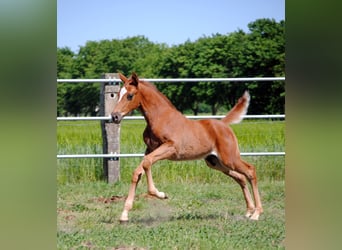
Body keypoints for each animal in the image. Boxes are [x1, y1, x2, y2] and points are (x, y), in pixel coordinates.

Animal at [111, 73, 264, 223]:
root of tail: (223, 124)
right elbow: (137, 172)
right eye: (118, 94)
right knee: (241, 178)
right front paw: (124, 214)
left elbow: (147, 163)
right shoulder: (150, 150)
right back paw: (249, 211)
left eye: (130, 95)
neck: (161, 118)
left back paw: (256, 213)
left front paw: (161, 194)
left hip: (230, 158)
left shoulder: (170, 148)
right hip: (215, 162)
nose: (114, 116)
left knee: (250, 171)